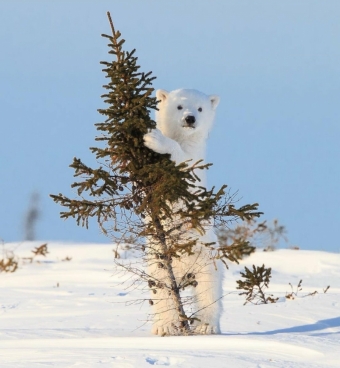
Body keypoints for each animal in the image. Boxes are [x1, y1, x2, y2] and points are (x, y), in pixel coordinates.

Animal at [142, 87, 222, 334]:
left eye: (200, 108)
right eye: (179, 106)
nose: (190, 119)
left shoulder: (196, 164)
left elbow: (185, 167)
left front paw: (154, 138)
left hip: (207, 260)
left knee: (208, 292)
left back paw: (206, 326)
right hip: (157, 262)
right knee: (162, 291)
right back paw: (164, 326)